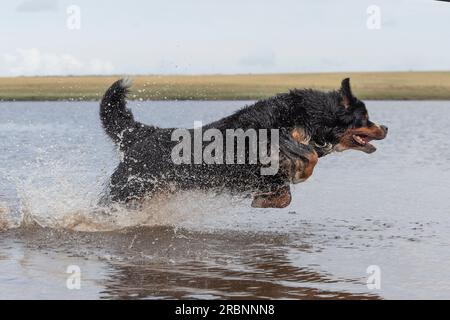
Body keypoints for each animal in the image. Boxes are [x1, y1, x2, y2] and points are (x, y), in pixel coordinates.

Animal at [100, 77, 388, 208]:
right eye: (365, 117)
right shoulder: (272, 140)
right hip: (124, 192)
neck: (309, 116)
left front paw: (264, 199)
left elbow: (285, 196)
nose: (385, 127)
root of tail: (141, 134)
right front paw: (300, 173)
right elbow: (309, 157)